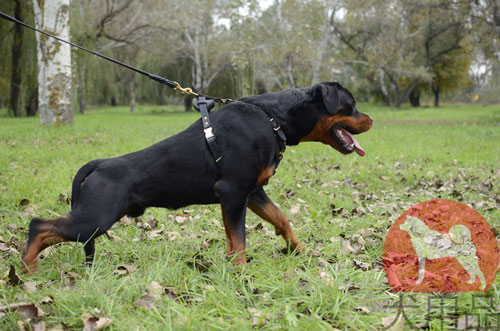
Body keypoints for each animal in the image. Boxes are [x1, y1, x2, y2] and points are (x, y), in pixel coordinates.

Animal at [22, 81, 372, 274]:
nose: (370, 119)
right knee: (38, 225)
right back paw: (27, 269)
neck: (273, 119)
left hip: (95, 219)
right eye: (352, 105)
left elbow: (279, 219)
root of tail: (98, 164)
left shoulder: (252, 192)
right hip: (95, 219)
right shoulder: (233, 192)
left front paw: (299, 251)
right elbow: (240, 240)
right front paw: (242, 273)